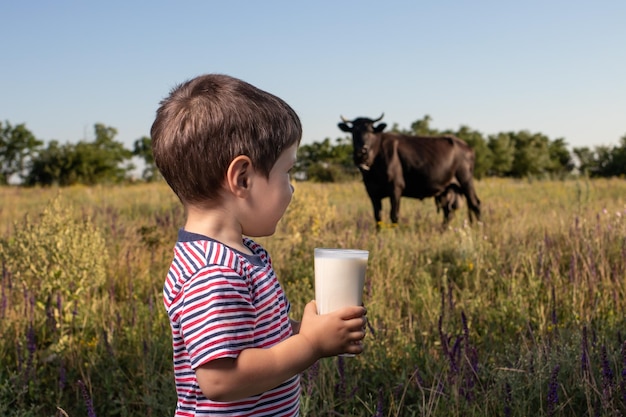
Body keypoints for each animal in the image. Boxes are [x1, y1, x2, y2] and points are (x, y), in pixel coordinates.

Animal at [338, 113, 480, 228]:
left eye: (371, 131)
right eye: (353, 131)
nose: (361, 152)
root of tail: (467, 146)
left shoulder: (396, 188)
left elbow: (394, 215)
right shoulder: (372, 192)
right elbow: (378, 217)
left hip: (465, 181)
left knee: (475, 204)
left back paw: (479, 227)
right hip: (447, 189)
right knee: (448, 212)